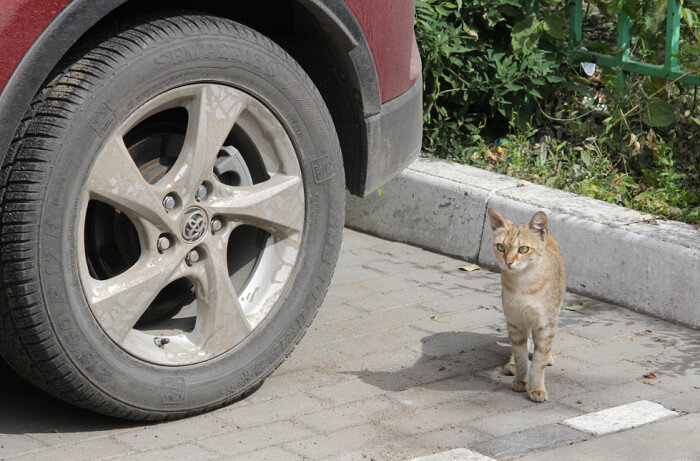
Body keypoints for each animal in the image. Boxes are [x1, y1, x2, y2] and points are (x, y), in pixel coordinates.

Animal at [490, 208, 568, 398]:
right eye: (500, 247)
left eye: (523, 249)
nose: (508, 262)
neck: (523, 284)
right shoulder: (515, 321)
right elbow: (520, 356)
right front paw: (520, 379)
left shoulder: (545, 324)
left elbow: (539, 361)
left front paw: (537, 387)